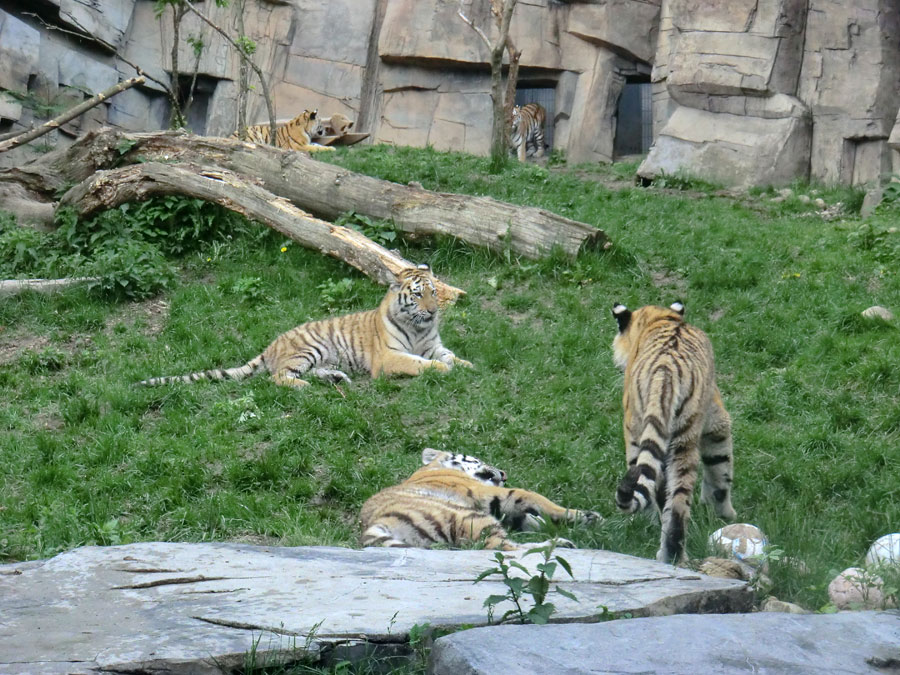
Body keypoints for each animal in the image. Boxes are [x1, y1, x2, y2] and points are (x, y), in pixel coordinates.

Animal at [139, 264, 472, 390]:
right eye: (417, 295)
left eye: (433, 292)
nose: (433, 311)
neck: (418, 329)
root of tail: (271, 345)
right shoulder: (389, 358)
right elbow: (418, 364)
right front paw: (442, 370)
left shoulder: (434, 346)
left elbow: (451, 356)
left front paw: (468, 365)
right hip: (310, 349)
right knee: (278, 377)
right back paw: (303, 386)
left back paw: (336, 377)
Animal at [356, 448, 596, 548]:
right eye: (478, 459)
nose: (504, 475)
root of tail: (376, 523)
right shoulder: (489, 494)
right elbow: (539, 500)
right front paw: (589, 517)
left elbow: (534, 520)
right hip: (472, 519)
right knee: (500, 548)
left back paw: (562, 544)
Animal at [612, 302, 740, 564]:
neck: (659, 318)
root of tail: (666, 371)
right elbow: (720, 472)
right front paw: (723, 514)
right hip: (684, 438)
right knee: (679, 502)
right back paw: (674, 555)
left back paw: (667, 552)